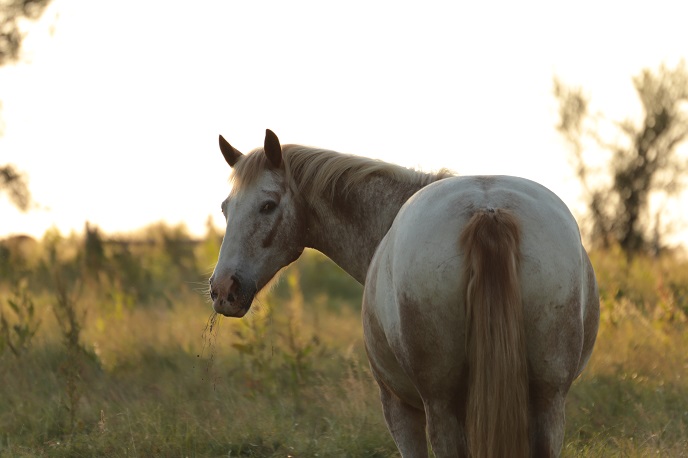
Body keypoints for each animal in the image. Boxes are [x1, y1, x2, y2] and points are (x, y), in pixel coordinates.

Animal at [208, 129, 596, 458]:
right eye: (226, 208)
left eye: (268, 205)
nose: (223, 288)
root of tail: (488, 211)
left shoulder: (398, 404)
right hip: (548, 400)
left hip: (441, 405)